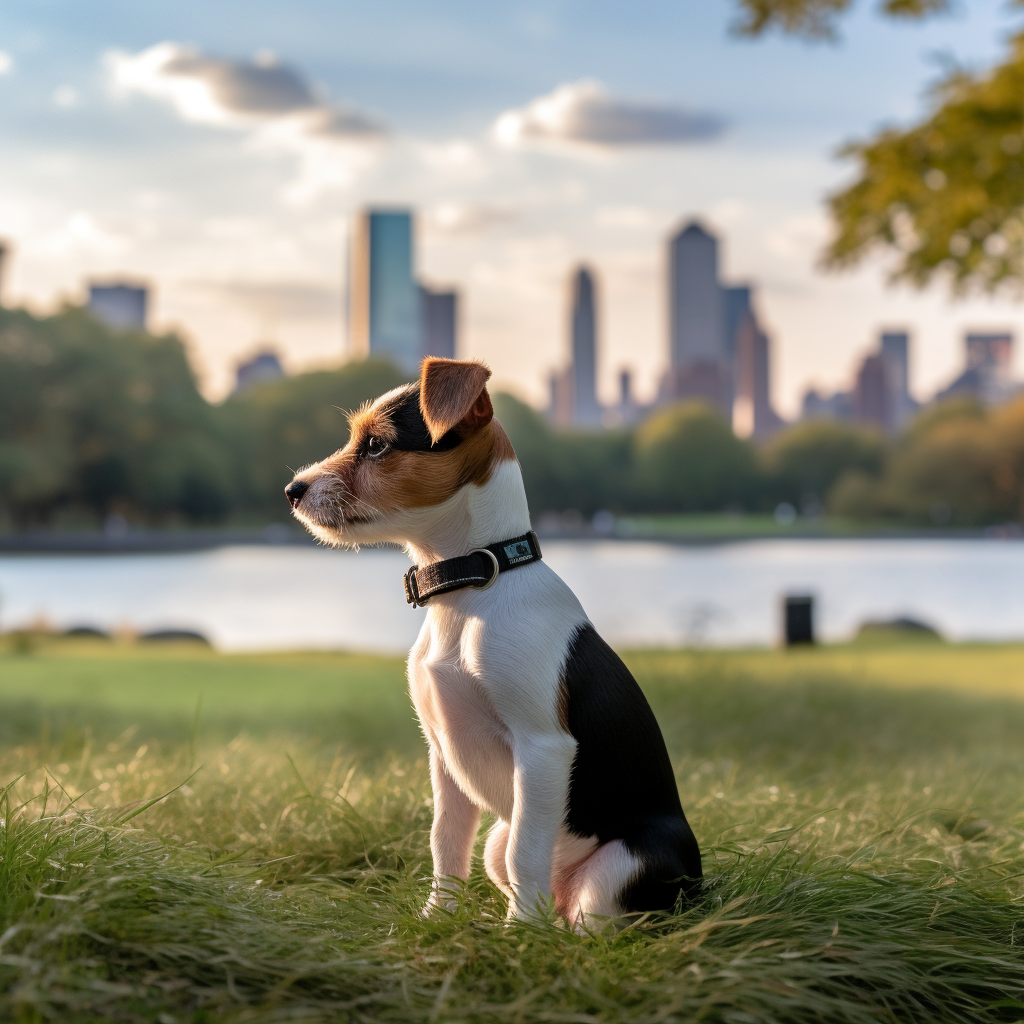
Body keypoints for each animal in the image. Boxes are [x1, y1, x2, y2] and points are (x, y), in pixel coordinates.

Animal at [288, 356, 704, 925]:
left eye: (376, 445)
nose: (292, 489)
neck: (473, 585)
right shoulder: (442, 754)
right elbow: (445, 841)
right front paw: (438, 918)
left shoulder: (543, 747)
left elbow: (526, 850)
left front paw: (519, 936)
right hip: (498, 838)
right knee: (509, 866)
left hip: (625, 863)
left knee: (595, 917)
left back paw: (542, 930)